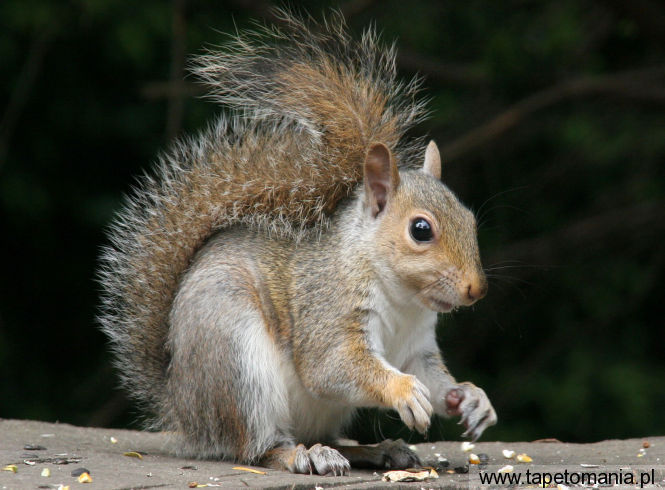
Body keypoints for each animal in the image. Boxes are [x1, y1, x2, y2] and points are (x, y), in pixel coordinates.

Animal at [97, 10, 492, 474]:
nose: (476, 289)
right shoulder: (327, 308)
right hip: (236, 360)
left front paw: (471, 398)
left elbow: (434, 379)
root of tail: (185, 410)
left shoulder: (415, 349)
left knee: (323, 438)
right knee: (257, 447)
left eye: (469, 219)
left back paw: (373, 449)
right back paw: (304, 454)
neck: (403, 302)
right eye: (421, 230)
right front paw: (403, 392)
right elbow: (332, 367)